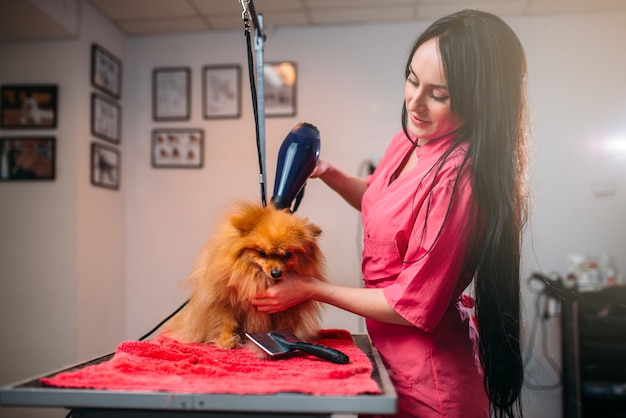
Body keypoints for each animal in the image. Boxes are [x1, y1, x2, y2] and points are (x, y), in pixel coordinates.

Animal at [165, 201, 326, 348]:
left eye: (287, 255)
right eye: (262, 253)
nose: (276, 273)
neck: (257, 276)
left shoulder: (286, 310)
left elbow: (283, 325)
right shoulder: (223, 301)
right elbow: (226, 322)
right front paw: (227, 341)